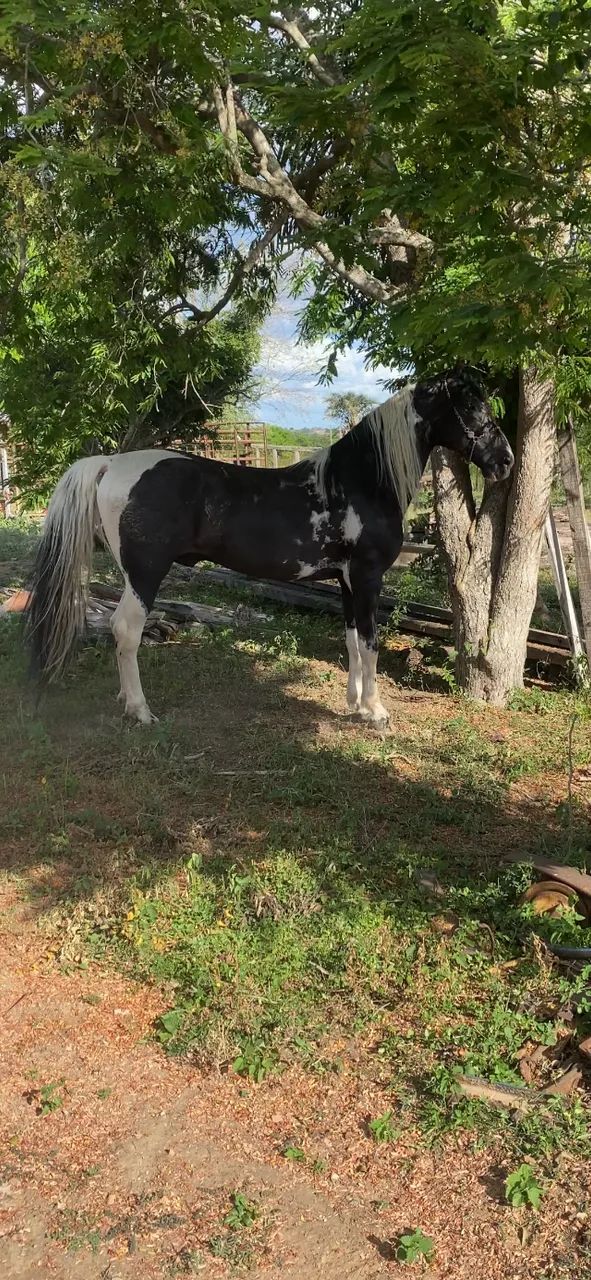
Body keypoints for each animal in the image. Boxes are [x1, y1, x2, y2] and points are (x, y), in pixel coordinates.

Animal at [26, 369, 514, 728]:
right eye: (471, 408)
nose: (505, 461)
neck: (362, 482)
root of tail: (111, 463)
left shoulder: (347, 582)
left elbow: (352, 642)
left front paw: (354, 704)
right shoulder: (368, 577)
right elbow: (371, 642)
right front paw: (375, 712)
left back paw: (127, 701)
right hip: (145, 574)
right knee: (126, 631)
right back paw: (141, 711)